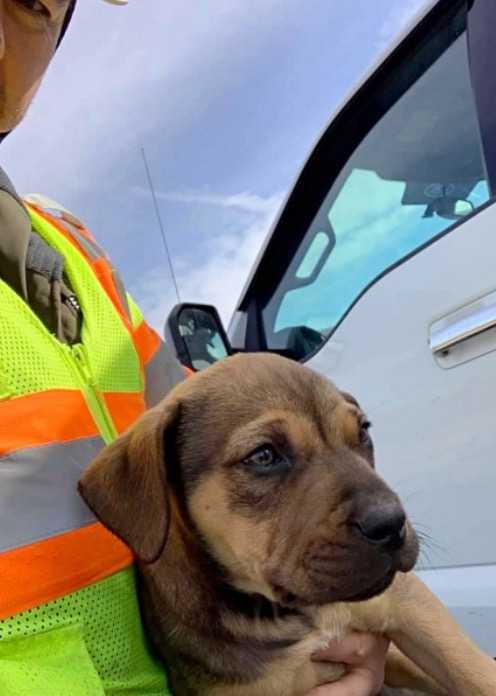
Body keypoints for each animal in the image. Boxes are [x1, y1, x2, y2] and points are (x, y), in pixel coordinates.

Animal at [79, 356, 494, 692]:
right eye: (264, 456)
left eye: (363, 432)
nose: (391, 525)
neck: (292, 613)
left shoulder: (411, 607)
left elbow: (475, 672)